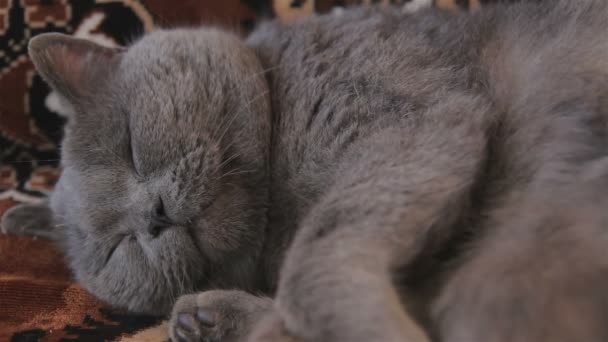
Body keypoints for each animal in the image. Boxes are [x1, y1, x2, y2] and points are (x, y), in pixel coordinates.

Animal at [3, 0, 608, 342]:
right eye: (116, 247)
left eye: (129, 144)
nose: (152, 217)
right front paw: (208, 317)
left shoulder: (408, 124)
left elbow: (312, 263)